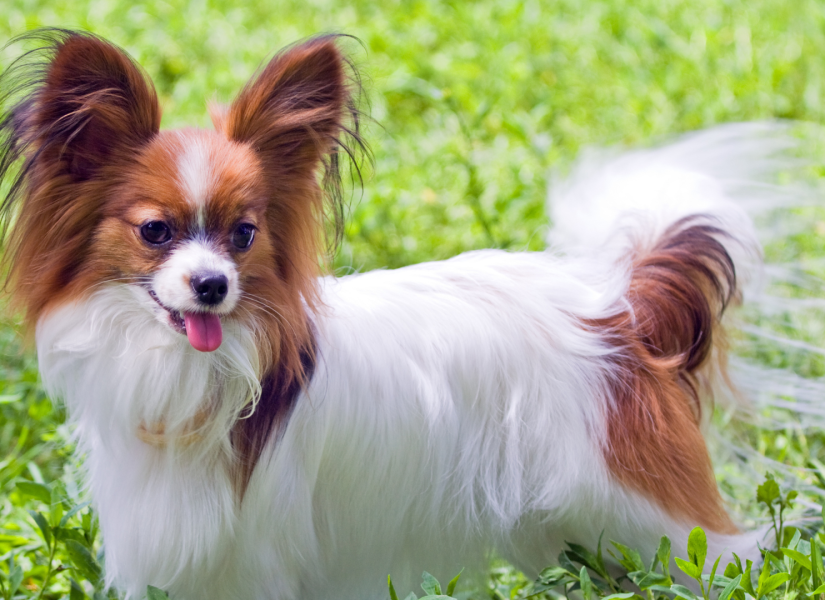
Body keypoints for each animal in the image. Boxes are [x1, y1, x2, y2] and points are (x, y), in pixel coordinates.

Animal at [0, 30, 800, 600]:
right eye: (155, 231)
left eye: (244, 235)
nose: (212, 285)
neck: (193, 373)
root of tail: (617, 305)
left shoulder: (259, 560)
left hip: (648, 513)